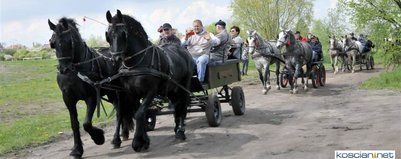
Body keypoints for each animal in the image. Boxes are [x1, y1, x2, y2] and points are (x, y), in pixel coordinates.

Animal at [47, 17, 135, 158]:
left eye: (69, 41)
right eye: (53, 42)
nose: (63, 69)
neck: (75, 71)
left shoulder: (92, 96)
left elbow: (86, 123)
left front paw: (99, 138)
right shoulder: (68, 99)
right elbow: (74, 124)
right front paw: (77, 149)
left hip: (119, 92)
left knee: (120, 112)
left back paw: (116, 139)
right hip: (111, 93)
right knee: (119, 110)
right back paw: (123, 133)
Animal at [104, 9, 194, 152]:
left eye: (123, 34)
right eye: (108, 35)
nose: (115, 60)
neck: (135, 64)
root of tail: (183, 50)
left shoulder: (151, 91)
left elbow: (140, 113)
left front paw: (138, 142)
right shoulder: (131, 93)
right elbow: (137, 114)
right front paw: (143, 141)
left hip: (184, 86)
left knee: (183, 106)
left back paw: (180, 131)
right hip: (172, 89)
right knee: (177, 107)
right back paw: (176, 128)